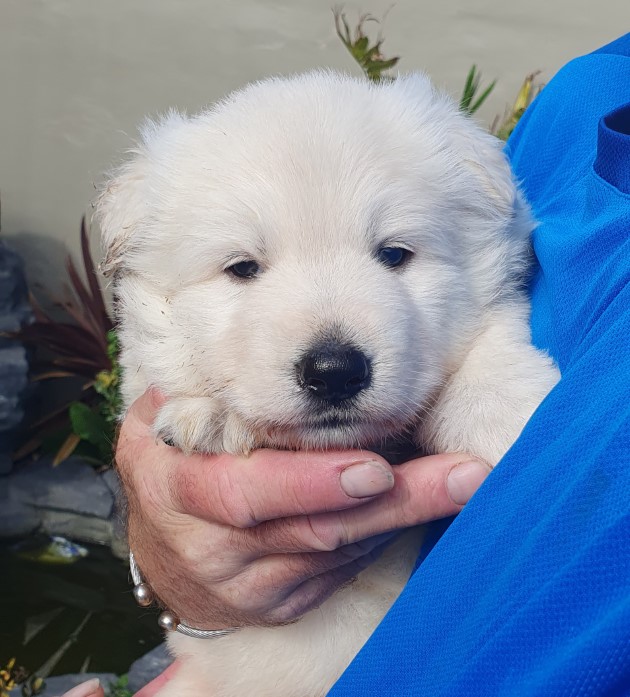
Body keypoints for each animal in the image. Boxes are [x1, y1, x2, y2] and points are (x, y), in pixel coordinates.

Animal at [96, 70, 560, 696]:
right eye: (242, 268)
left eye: (394, 254)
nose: (335, 372)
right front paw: (215, 417)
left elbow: (486, 350)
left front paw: (515, 411)